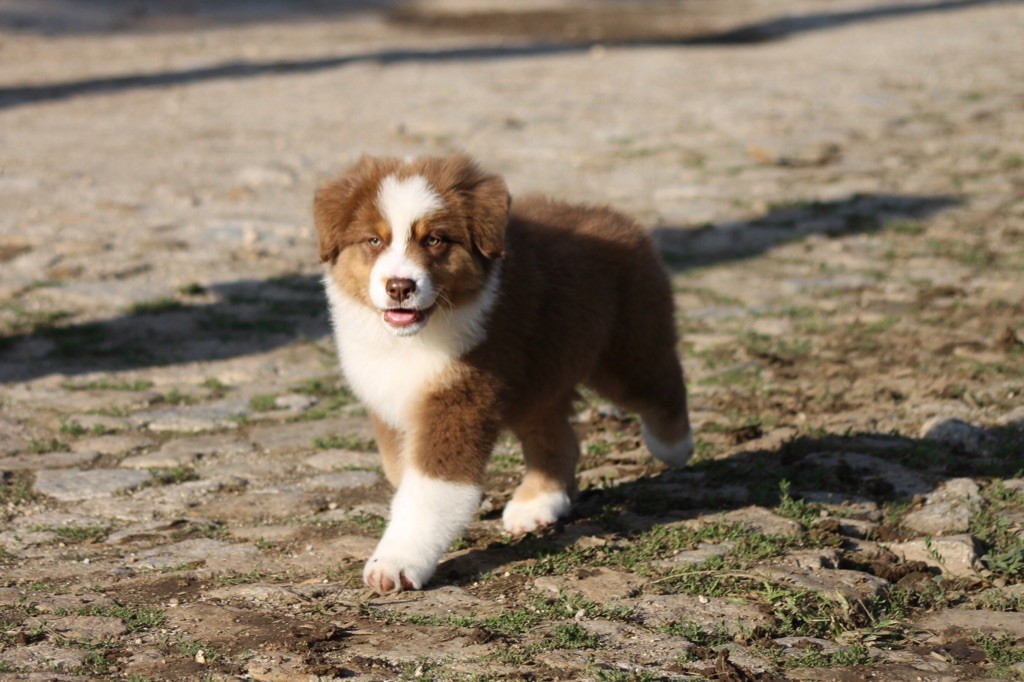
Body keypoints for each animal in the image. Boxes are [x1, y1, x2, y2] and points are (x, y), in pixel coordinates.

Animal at [314, 154, 693, 594]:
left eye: (435, 240)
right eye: (374, 241)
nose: (399, 287)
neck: (414, 339)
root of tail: (618, 219)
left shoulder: (459, 398)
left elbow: (428, 489)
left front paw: (394, 563)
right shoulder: (386, 398)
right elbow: (401, 472)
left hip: (625, 351)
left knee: (662, 386)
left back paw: (674, 447)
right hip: (540, 378)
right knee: (557, 438)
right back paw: (537, 504)